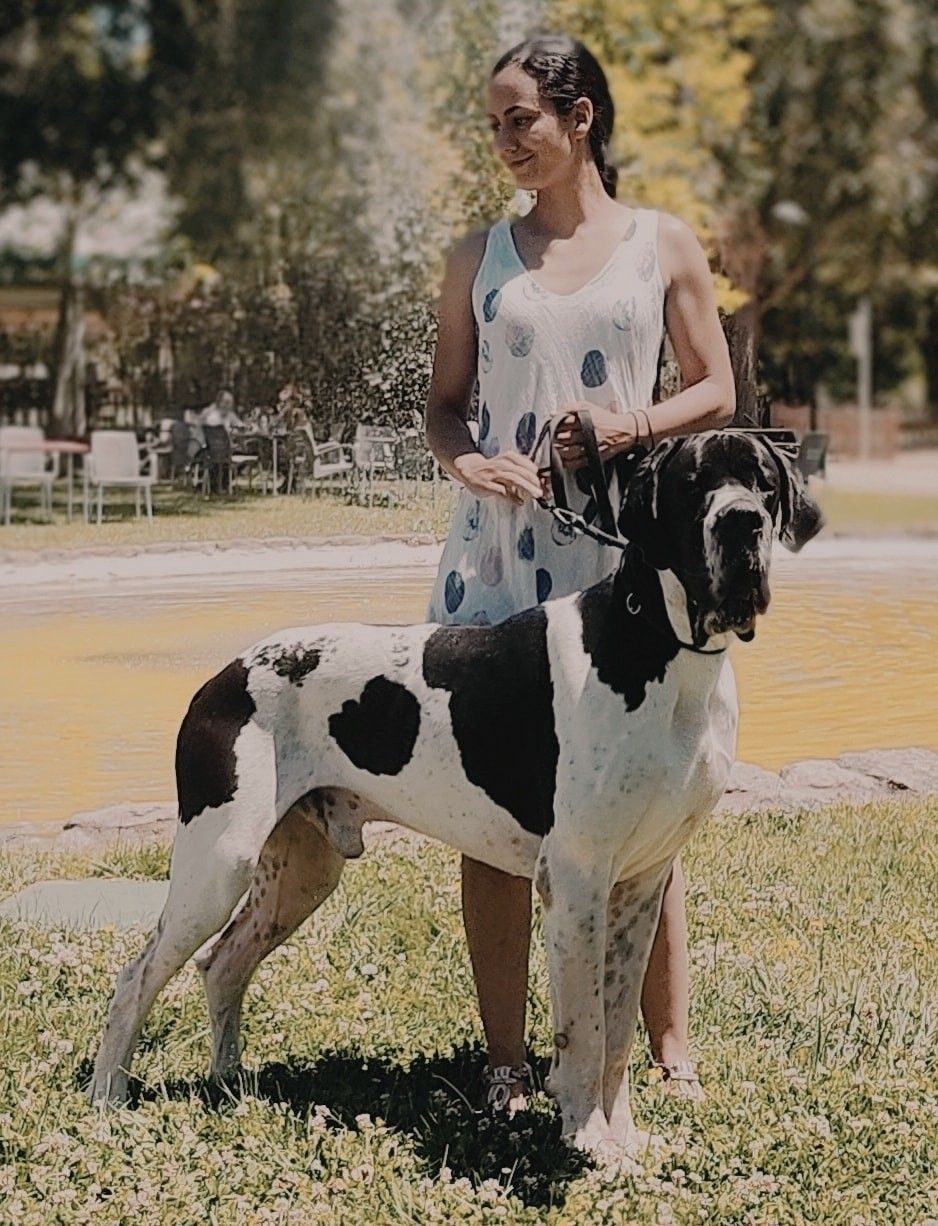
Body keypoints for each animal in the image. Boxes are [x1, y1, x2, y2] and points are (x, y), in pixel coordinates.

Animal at [90, 429, 822, 1165]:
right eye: (693, 483)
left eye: (763, 483)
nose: (742, 524)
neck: (656, 644)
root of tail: (222, 675)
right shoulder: (577, 881)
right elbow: (585, 1031)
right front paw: (587, 1139)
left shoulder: (638, 886)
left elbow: (617, 1032)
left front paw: (622, 1135)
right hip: (219, 864)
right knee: (136, 977)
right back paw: (107, 1096)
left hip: (298, 874)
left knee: (223, 965)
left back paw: (231, 1083)